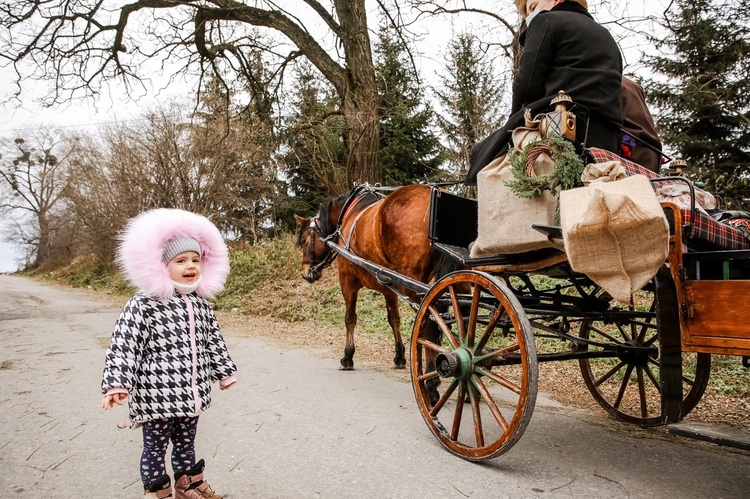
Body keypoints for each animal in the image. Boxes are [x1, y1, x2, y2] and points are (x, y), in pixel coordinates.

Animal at [296, 184, 456, 372]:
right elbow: (394, 319)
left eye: (305, 241)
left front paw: (347, 356)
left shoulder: (347, 281)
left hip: (414, 284)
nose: (305, 272)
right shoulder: (389, 289)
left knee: (430, 322)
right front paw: (399, 356)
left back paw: (431, 373)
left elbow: (350, 318)